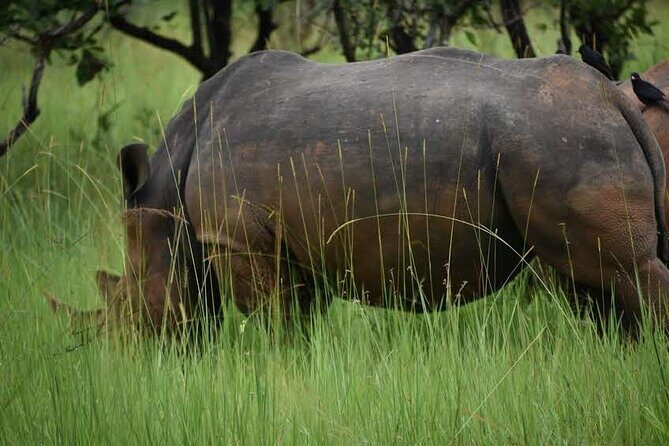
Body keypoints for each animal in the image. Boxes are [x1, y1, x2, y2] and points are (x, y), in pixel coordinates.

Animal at [49, 48, 669, 335]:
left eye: (128, 307)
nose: (126, 357)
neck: (165, 197)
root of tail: (610, 96)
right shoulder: (292, 247)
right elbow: (297, 328)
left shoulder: (237, 242)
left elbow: (274, 328)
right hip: (557, 139)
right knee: (590, 283)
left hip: (559, 137)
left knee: (621, 271)